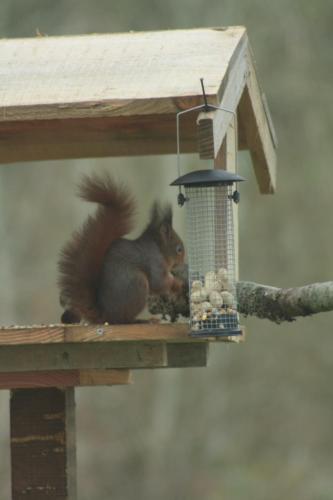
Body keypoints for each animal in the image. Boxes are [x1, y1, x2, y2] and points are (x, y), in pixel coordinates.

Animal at [58, 175, 185, 324]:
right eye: (179, 249)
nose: (183, 262)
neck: (159, 248)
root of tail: (106, 315)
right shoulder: (155, 262)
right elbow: (158, 282)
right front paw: (178, 284)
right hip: (137, 284)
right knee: (125, 320)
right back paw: (142, 320)